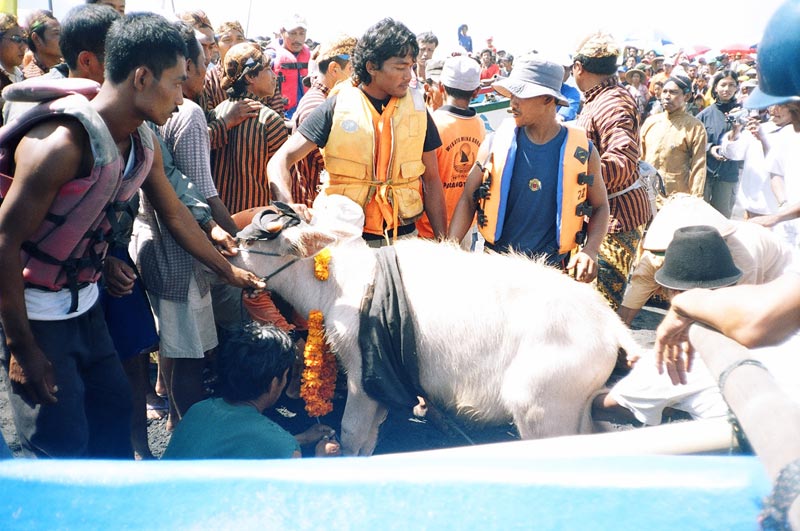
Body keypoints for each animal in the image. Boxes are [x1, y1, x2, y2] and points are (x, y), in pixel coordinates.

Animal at [230, 210, 636, 456]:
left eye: (253, 240)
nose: (225, 251)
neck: (341, 284)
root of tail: (608, 322)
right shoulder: (384, 383)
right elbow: (369, 438)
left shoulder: (362, 377)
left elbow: (351, 435)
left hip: (541, 412)